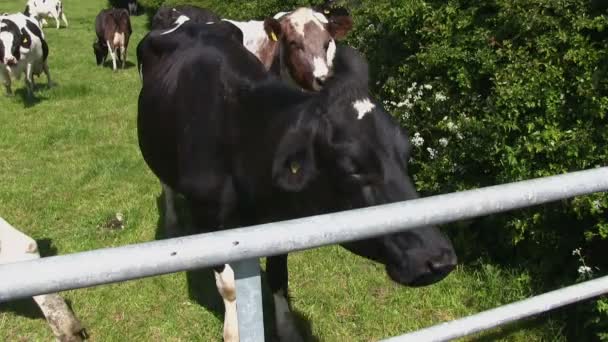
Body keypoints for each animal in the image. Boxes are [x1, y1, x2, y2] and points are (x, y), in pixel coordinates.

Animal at [135, 21, 454, 342]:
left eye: (406, 154)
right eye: (351, 167)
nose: (439, 258)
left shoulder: (279, 223)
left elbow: (278, 276)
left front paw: (287, 329)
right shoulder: (208, 218)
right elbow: (229, 286)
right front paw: (233, 331)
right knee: (166, 185)